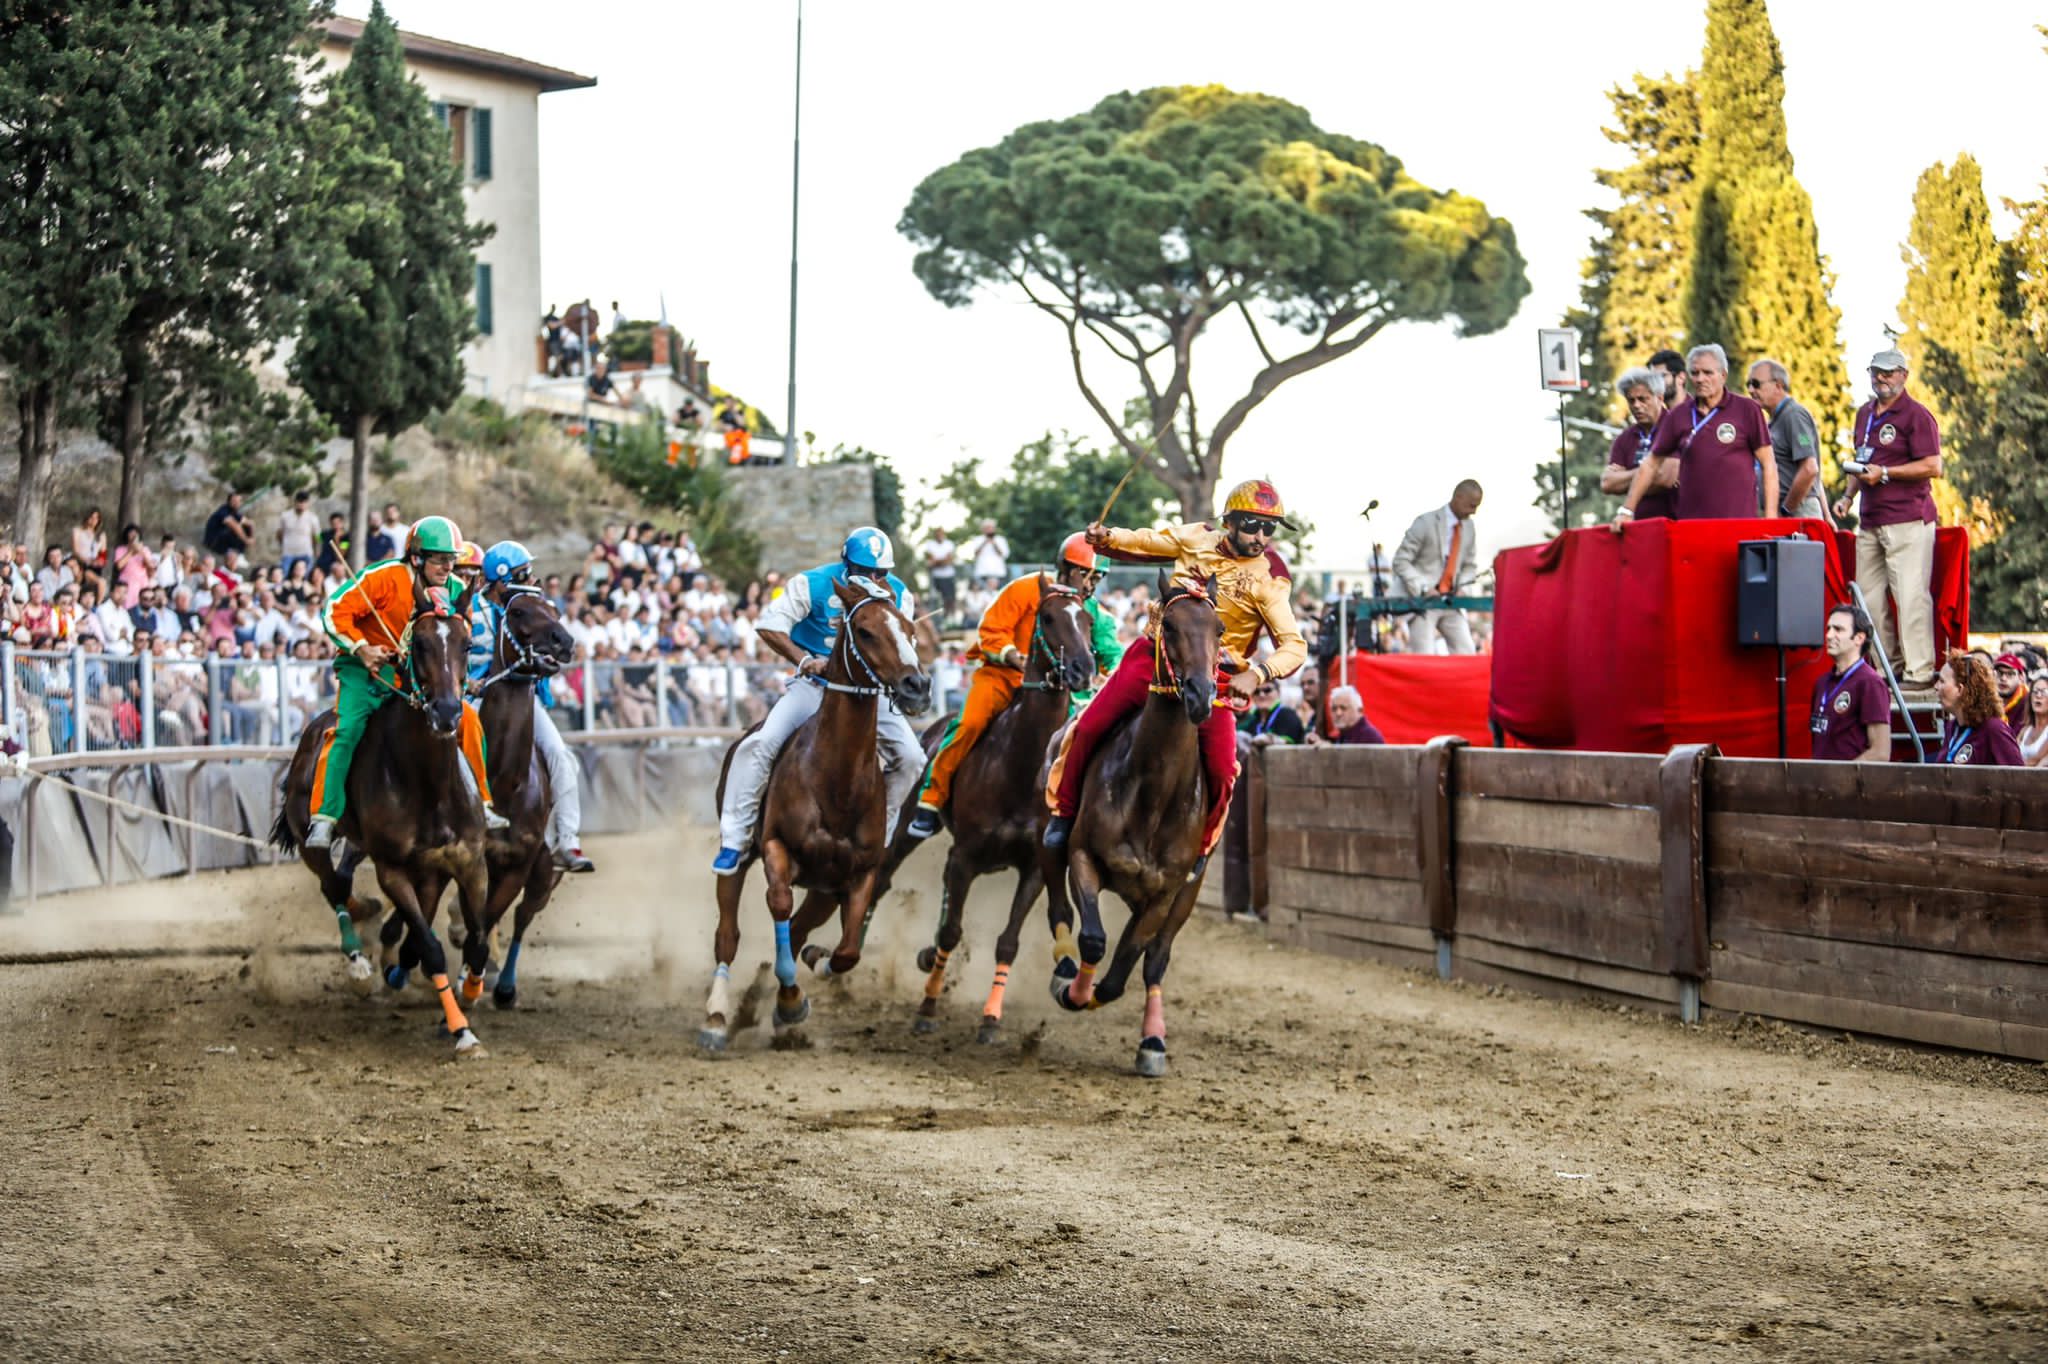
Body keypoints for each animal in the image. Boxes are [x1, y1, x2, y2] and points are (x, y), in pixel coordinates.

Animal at [271, 585, 492, 1056]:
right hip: (309, 837)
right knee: (332, 884)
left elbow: (476, 940)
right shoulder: (393, 870)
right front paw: (461, 1032)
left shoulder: (466, 863)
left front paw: (471, 991)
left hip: (372, 848)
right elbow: (430, 947)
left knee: (345, 879)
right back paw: (357, 960)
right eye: (420, 644)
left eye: (467, 644)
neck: (429, 785)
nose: (447, 712)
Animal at [699, 578, 932, 1051]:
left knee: (802, 928)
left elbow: (846, 952)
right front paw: (789, 1001)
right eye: (865, 630)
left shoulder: (858, 874)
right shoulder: (777, 848)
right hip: (740, 852)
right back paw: (717, 1016)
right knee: (728, 933)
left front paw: (806, 979)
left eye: (909, 630)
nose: (917, 685)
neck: (836, 781)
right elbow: (779, 904)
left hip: (825, 888)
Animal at [871, 578, 1096, 1040]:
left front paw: (991, 1018)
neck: (1019, 764)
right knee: (884, 876)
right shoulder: (964, 858)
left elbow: (1006, 941)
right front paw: (927, 1008)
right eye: (1049, 617)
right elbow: (951, 932)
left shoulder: (1033, 868)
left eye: (1087, 619)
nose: (1082, 668)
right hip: (908, 825)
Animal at [1040, 577, 1223, 1077]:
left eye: (1219, 629)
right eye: (1170, 625)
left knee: (1155, 961)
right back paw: (1063, 970)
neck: (1153, 795)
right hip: (1049, 842)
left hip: (1185, 897)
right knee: (1059, 908)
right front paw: (1074, 991)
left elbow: (1125, 966)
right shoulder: (1083, 855)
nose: (1201, 694)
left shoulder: (1165, 894)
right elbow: (1094, 939)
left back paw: (1152, 1041)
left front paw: (1101, 1000)